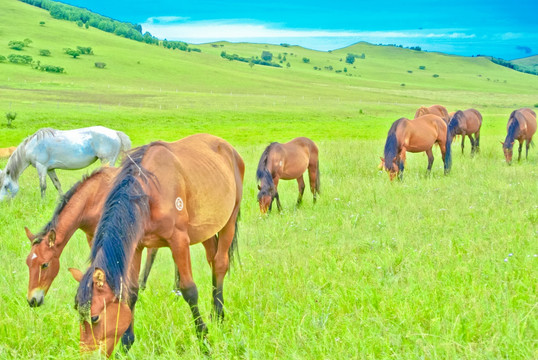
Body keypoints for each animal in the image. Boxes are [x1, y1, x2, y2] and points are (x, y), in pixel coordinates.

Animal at [0, 126, 130, 200]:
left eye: (6, 186)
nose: (4, 202)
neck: (32, 146)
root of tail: (115, 133)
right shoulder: (50, 169)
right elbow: (57, 184)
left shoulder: (41, 167)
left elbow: (43, 186)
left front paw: (42, 201)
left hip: (107, 161)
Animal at [69, 135, 243, 358]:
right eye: (78, 314)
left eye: (94, 318)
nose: (87, 355)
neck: (148, 193)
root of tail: (229, 148)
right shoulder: (136, 246)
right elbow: (132, 292)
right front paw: (126, 344)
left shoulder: (179, 240)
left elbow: (189, 290)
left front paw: (204, 340)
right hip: (208, 229)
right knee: (213, 261)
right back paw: (215, 312)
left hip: (230, 219)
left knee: (220, 263)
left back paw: (219, 315)